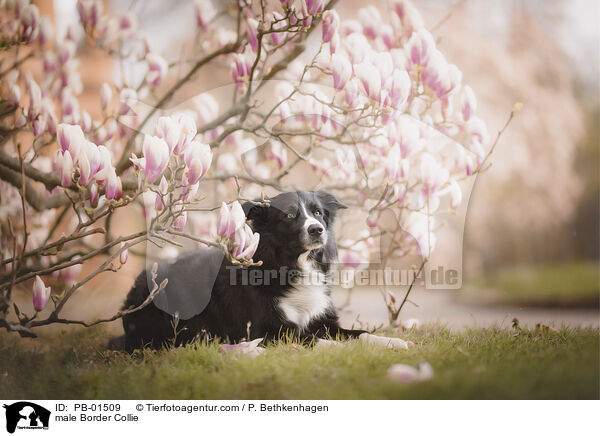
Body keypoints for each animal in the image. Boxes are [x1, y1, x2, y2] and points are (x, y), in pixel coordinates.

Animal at [108, 190, 408, 350]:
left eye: (318, 213)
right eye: (290, 215)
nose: (317, 230)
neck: (290, 265)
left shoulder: (324, 321)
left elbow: (360, 334)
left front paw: (394, 343)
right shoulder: (267, 331)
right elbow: (311, 339)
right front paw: (336, 349)